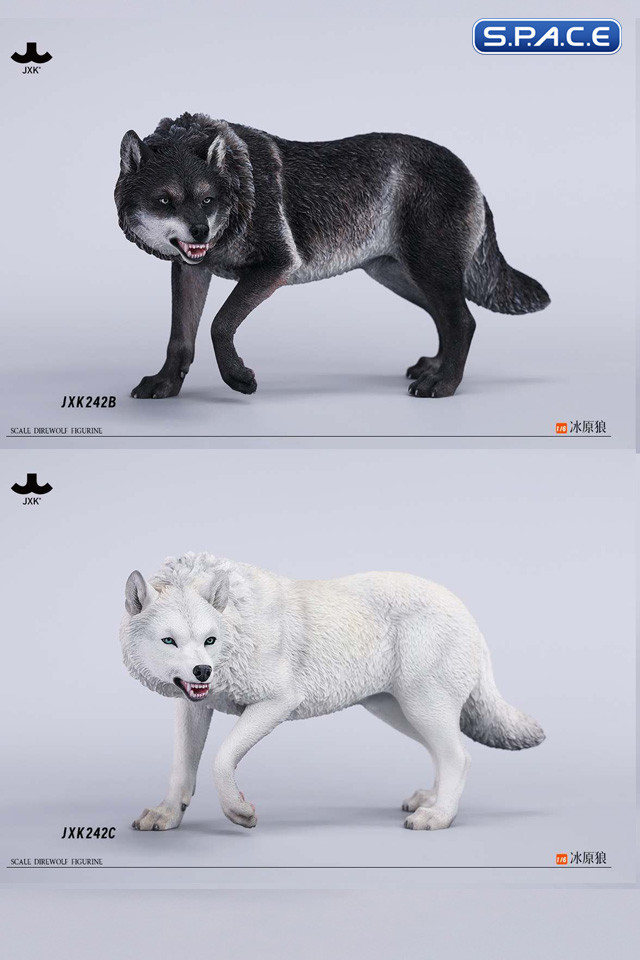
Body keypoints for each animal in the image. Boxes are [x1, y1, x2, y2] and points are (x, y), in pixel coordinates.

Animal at [115, 113, 550, 401]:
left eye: (207, 200)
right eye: (165, 200)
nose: (201, 233)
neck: (241, 188)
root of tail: (471, 174)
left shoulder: (276, 267)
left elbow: (219, 325)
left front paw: (239, 379)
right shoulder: (191, 270)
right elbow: (180, 338)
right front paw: (166, 385)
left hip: (428, 272)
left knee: (462, 320)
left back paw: (443, 385)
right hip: (401, 278)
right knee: (449, 319)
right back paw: (435, 368)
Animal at [120, 553, 544, 832]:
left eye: (210, 640)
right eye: (170, 641)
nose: (203, 671)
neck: (237, 623)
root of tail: (467, 613)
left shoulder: (277, 702)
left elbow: (221, 760)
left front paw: (239, 812)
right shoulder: (193, 705)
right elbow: (182, 768)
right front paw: (168, 815)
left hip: (421, 707)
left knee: (460, 756)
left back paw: (439, 816)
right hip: (401, 712)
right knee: (446, 751)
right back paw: (432, 799)